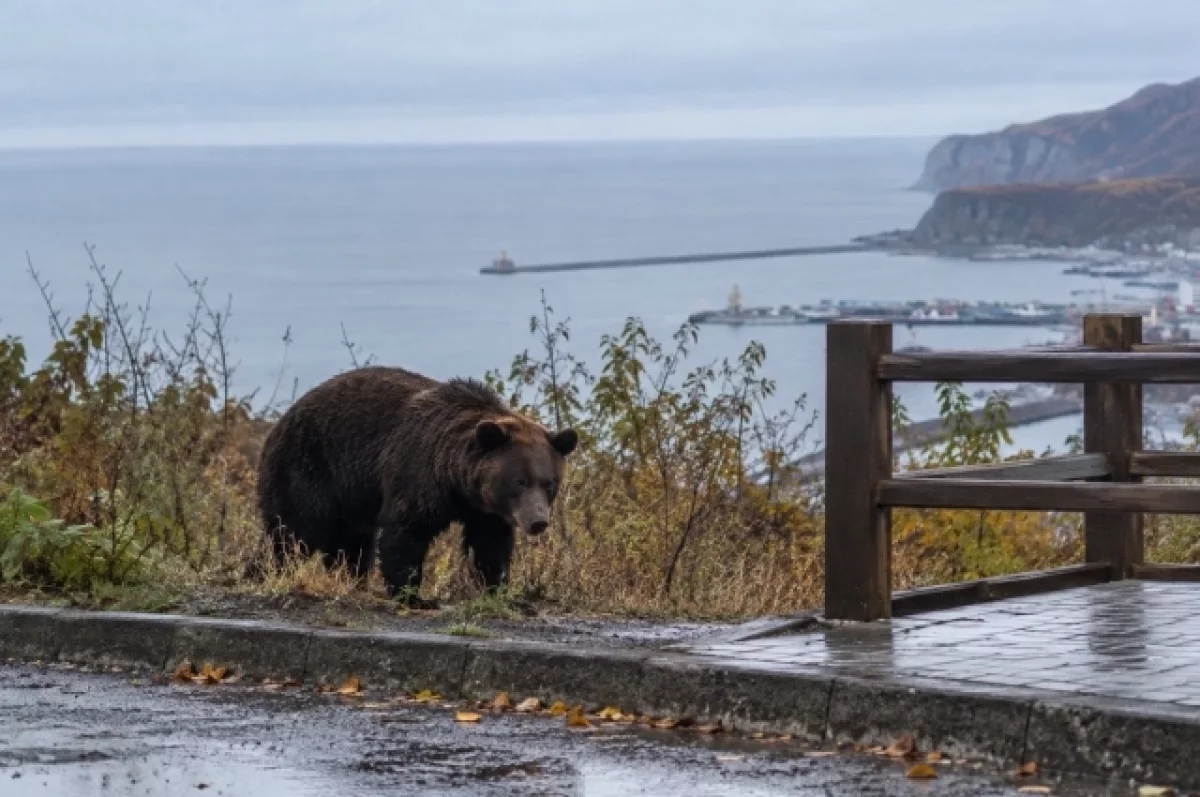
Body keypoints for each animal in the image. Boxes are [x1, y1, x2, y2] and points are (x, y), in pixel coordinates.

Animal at [255, 366, 578, 606]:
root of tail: (278, 424)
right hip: (310, 469)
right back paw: (263, 572)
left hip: (350, 499)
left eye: (549, 483)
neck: (457, 483)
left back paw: (352, 581)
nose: (538, 521)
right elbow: (405, 530)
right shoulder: (417, 472)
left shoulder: (485, 511)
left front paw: (502, 592)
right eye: (519, 481)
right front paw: (414, 596)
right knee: (292, 533)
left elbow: (490, 545)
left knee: (351, 544)